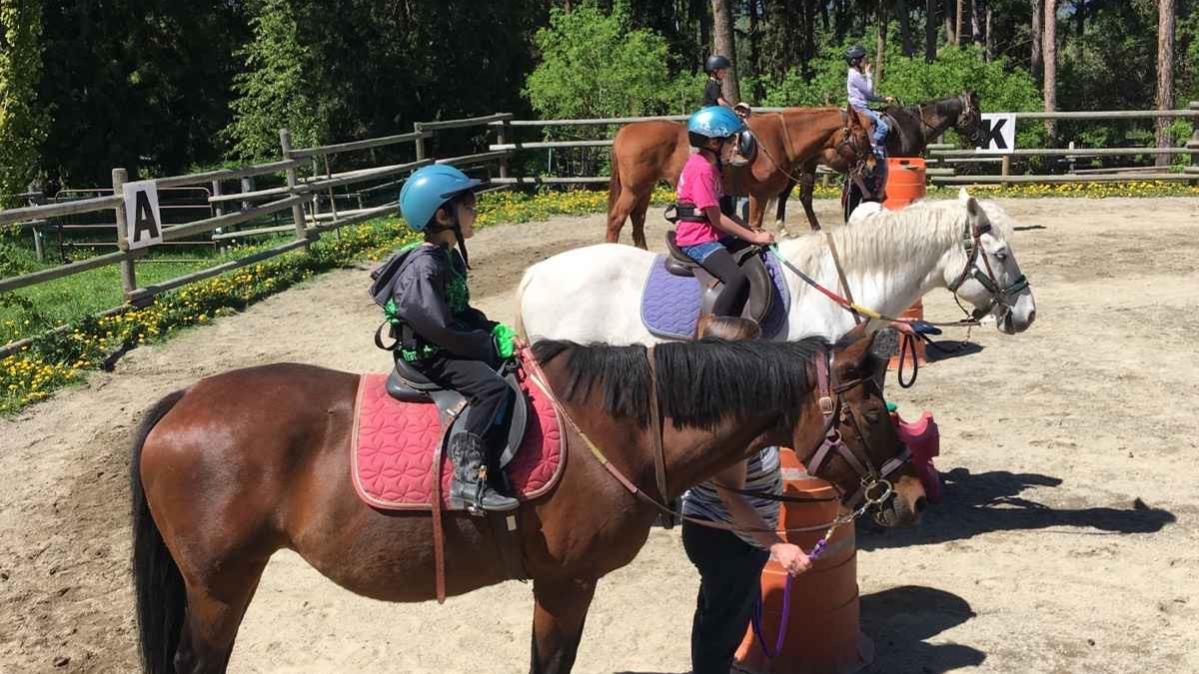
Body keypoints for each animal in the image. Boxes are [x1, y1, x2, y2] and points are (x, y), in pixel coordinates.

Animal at [131, 331, 920, 671]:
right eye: (872, 410)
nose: (908, 492)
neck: (616, 426)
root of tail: (184, 401)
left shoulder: (560, 586)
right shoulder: (565, 584)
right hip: (220, 587)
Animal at [604, 106, 877, 248]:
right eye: (863, 136)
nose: (872, 165)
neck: (780, 138)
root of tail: (625, 131)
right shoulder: (759, 195)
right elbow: (755, 224)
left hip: (645, 189)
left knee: (637, 222)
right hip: (633, 190)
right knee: (617, 219)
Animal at [776, 90, 983, 229]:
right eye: (975, 111)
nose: (981, 138)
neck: (914, 124)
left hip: (801, 166)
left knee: (788, 194)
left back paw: (783, 226)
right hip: (806, 165)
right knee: (803, 196)